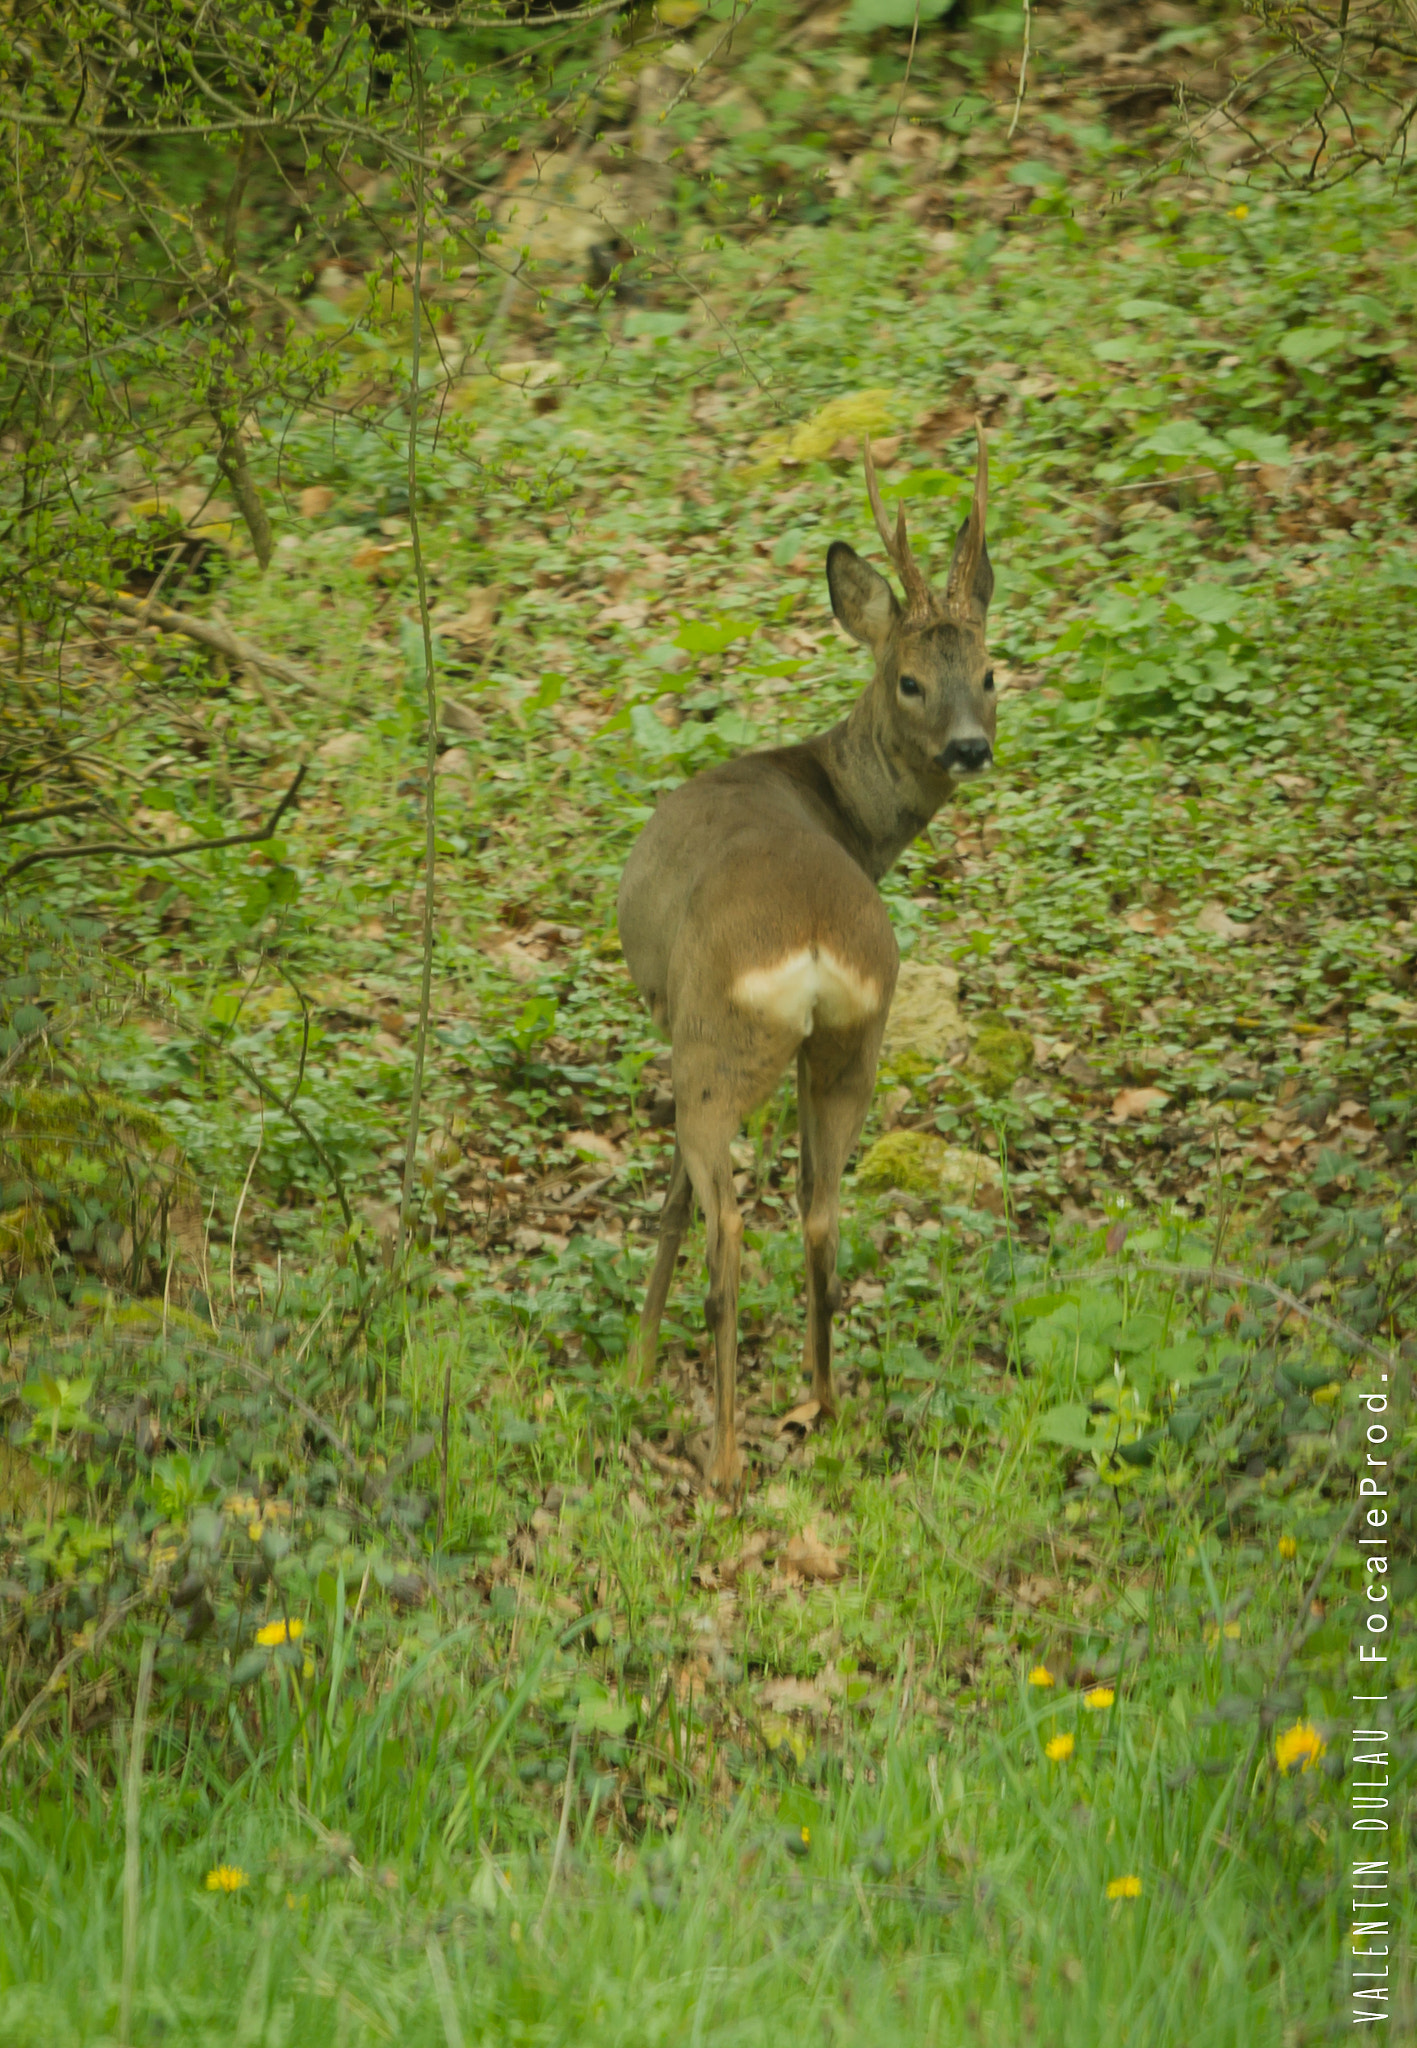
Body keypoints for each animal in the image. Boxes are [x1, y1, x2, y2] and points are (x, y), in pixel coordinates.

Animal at [614, 432, 991, 1490]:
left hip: (717, 1044)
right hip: (852, 1041)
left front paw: (638, 1363)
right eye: (913, 680)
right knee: (821, 1209)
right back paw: (820, 1402)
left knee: (727, 1229)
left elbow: (668, 1201)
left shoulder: (669, 1011)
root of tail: (818, 945)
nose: (969, 746)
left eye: (986, 673)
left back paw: (724, 1456)